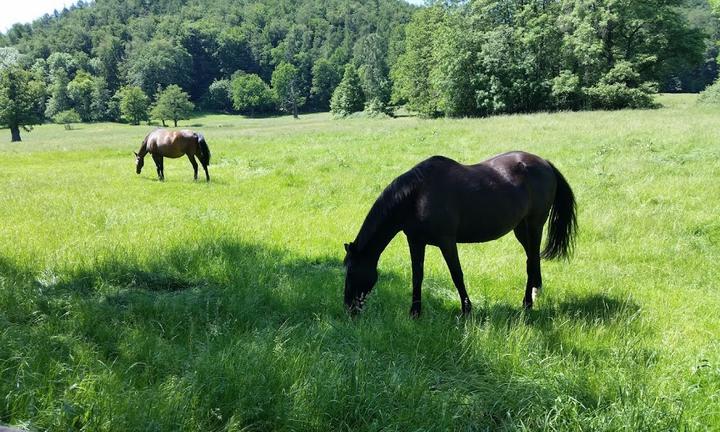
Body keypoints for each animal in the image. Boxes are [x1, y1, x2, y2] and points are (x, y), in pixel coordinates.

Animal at [344, 152, 580, 318]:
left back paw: (527, 304)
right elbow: (417, 276)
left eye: (352, 271)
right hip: (521, 229)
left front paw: (467, 310)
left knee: (531, 261)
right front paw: (415, 313)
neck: (418, 195)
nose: (348, 308)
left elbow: (457, 275)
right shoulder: (416, 241)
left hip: (534, 225)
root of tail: (545, 163)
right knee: (532, 259)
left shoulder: (447, 242)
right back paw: (534, 294)